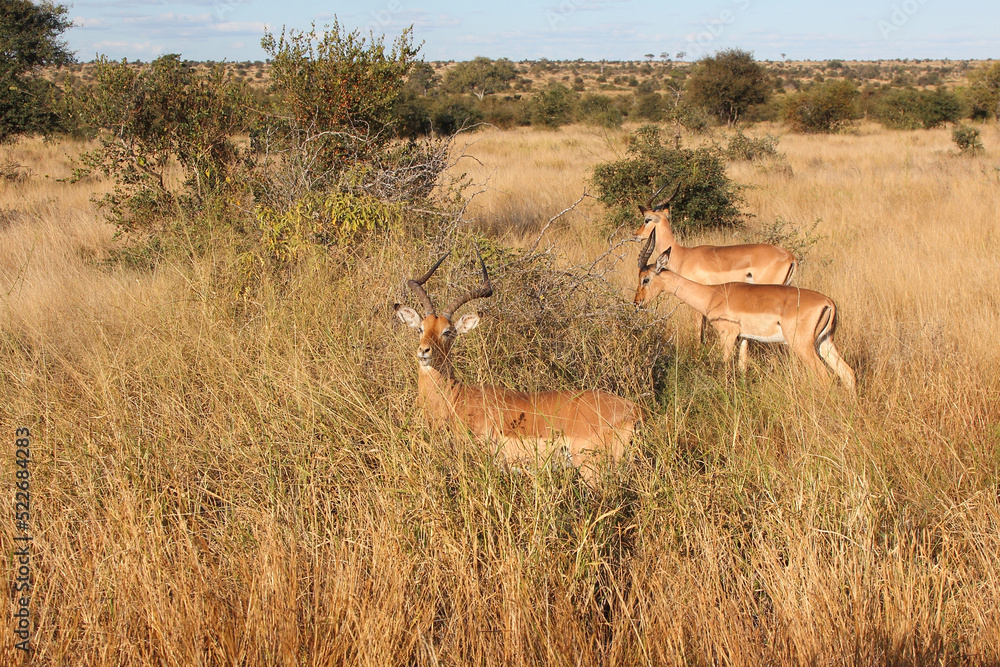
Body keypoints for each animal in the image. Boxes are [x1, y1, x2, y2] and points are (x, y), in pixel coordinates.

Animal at [395, 248, 642, 483]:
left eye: (448, 332)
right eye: (421, 328)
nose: (424, 351)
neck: (455, 398)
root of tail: (633, 409)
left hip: (592, 470)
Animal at [635, 231, 856, 393]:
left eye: (645, 279)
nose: (637, 303)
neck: (713, 294)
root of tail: (829, 303)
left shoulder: (727, 335)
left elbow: (724, 368)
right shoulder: (744, 338)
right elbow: (742, 368)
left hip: (803, 346)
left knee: (826, 377)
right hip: (824, 343)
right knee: (848, 374)